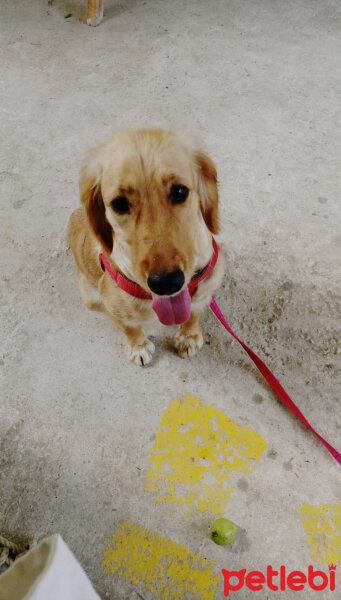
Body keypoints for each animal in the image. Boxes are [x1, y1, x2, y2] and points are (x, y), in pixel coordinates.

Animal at [67, 130, 224, 366]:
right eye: (119, 204)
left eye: (180, 191)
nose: (166, 283)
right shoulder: (113, 304)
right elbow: (130, 328)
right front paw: (138, 347)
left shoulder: (206, 286)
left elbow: (193, 314)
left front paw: (189, 336)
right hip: (92, 298)